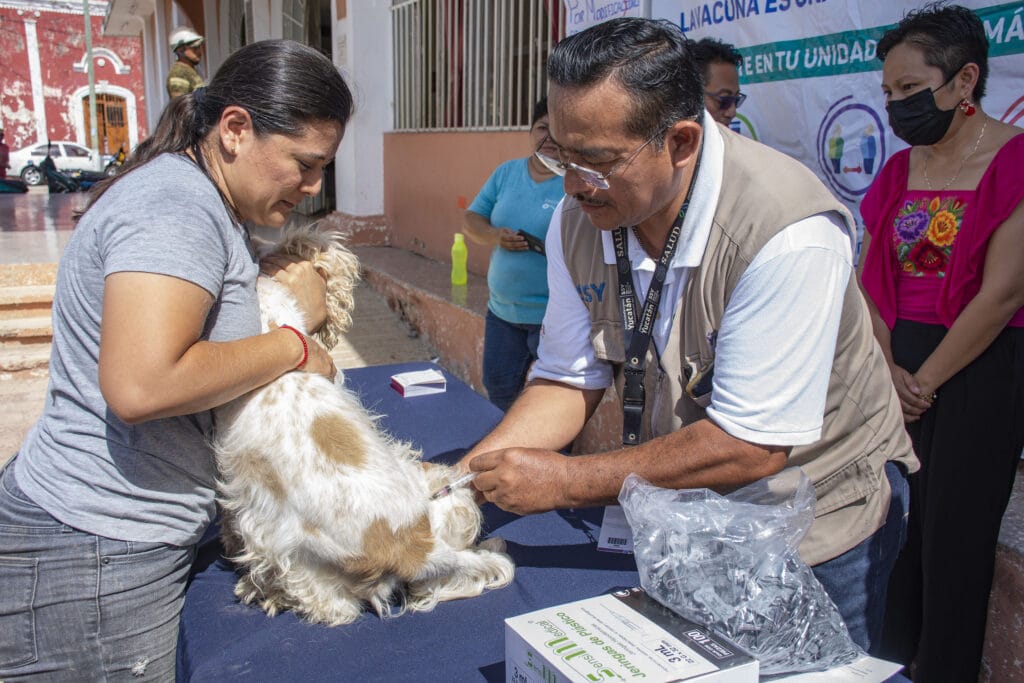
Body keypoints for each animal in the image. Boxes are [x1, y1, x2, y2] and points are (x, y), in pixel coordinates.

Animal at [210, 224, 512, 626]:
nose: (256, 240)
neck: (270, 324)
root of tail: (412, 548)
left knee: (332, 607)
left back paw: (264, 592)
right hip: (439, 489)